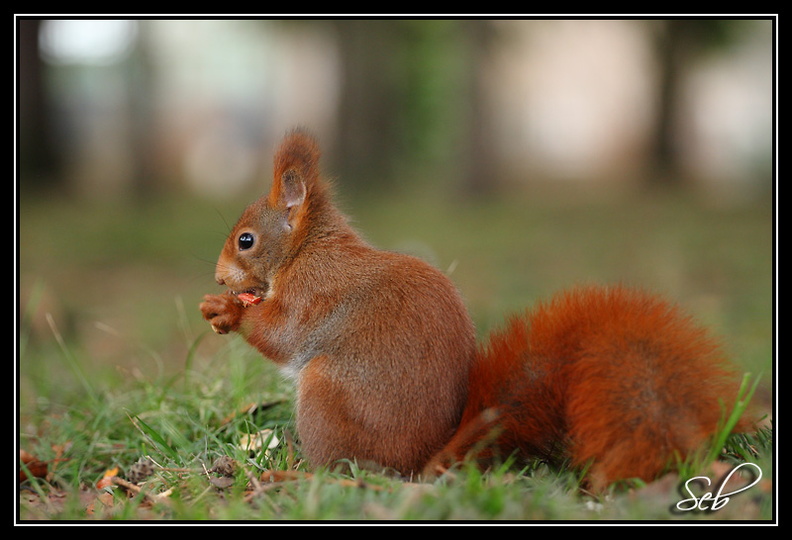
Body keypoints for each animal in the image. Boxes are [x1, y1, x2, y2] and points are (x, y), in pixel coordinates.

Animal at [201, 129, 752, 488]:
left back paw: (292, 473)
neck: (305, 250)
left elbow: (284, 334)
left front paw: (227, 309)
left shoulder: (314, 292)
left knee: (344, 470)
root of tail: (422, 463)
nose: (220, 276)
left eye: (246, 240)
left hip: (326, 397)